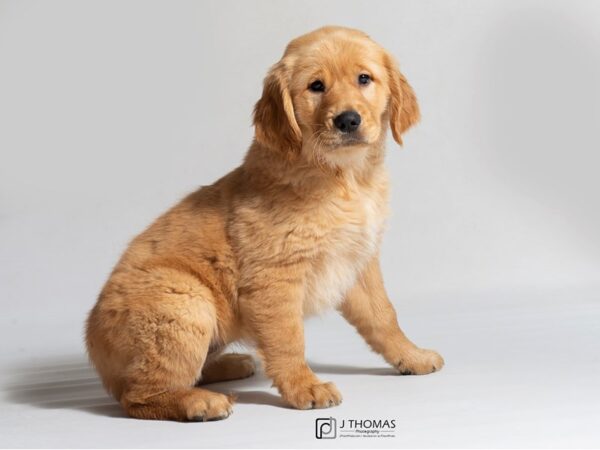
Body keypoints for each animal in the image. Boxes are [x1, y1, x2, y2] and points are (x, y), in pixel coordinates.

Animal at [85, 25, 440, 422]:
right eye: (316, 86)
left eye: (364, 79)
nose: (348, 120)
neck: (343, 177)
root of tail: (92, 340)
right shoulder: (274, 278)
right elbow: (288, 340)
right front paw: (304, 387)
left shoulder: (358, 263)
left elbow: (384, 317)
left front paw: (412, 356)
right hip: (185, 302)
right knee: (137, 396)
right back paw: (199, 402)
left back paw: (229, 365)